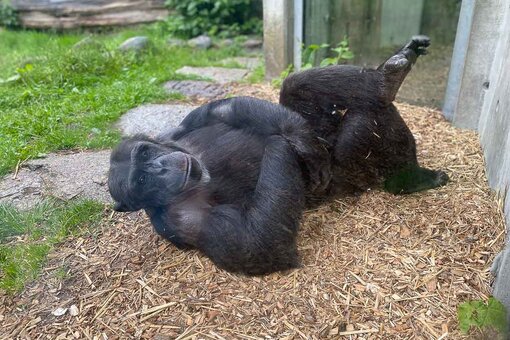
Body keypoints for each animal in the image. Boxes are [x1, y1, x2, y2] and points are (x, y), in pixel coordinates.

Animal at [109, 96, 330, 276]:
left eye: (145, 153)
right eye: (141, 180)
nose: (161, 167)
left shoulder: (169, 135)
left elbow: (218, 111)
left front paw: (304, 143)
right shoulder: (185, 221)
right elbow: (256, 241)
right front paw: (277, 142)